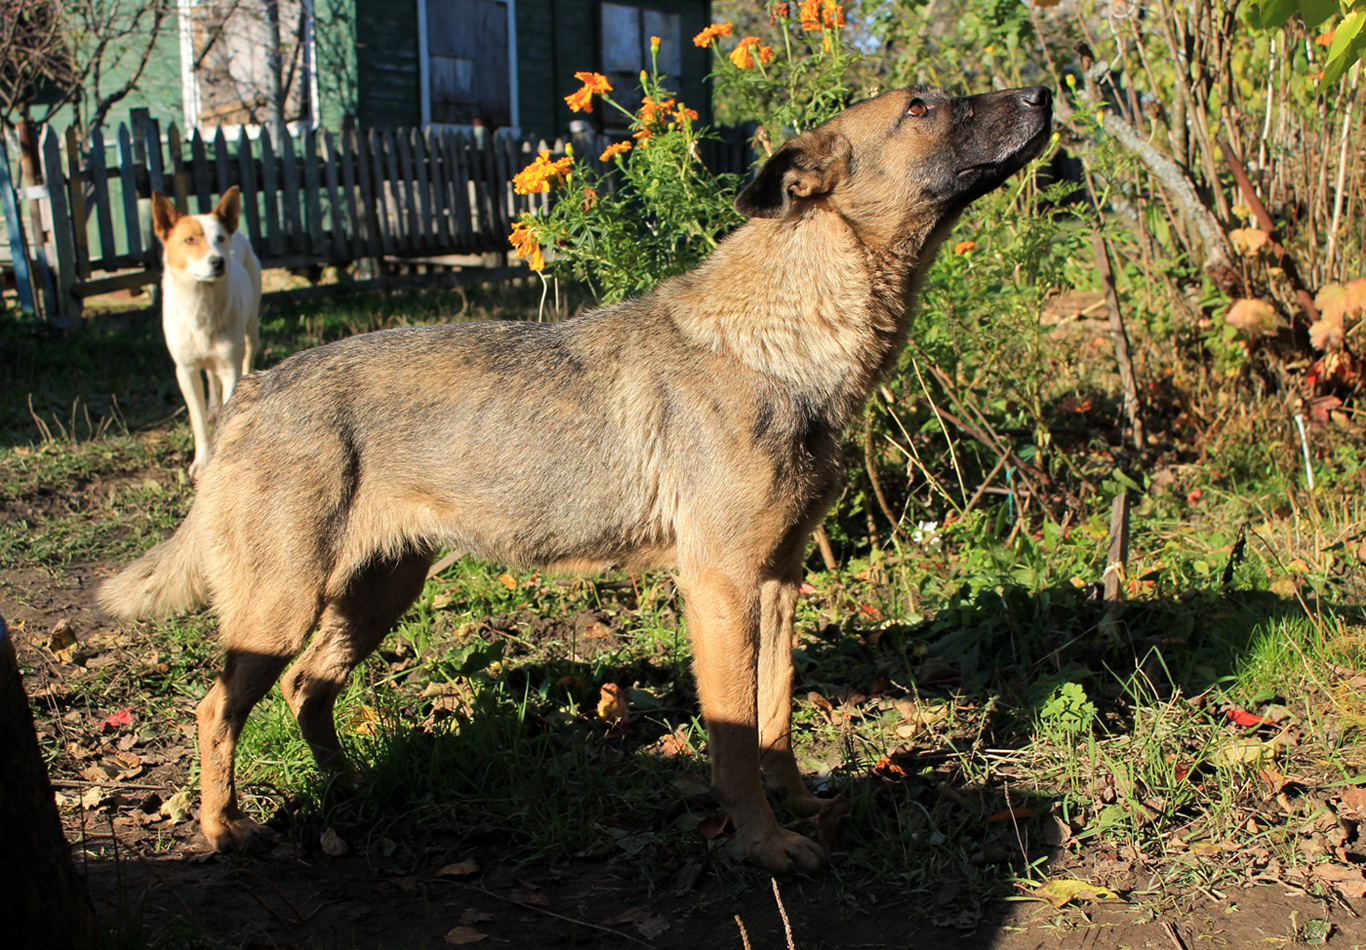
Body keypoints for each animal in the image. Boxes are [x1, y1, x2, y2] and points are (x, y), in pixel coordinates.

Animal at [151, 186, 263, 481]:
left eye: (220, 239)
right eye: (190, 239)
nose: (218, 261)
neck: (201, 309)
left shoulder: (229, 366)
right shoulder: (185, 370)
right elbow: (197, 420)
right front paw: (201, 462)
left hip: (252, 328)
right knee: (210, 379)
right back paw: (212, 407)